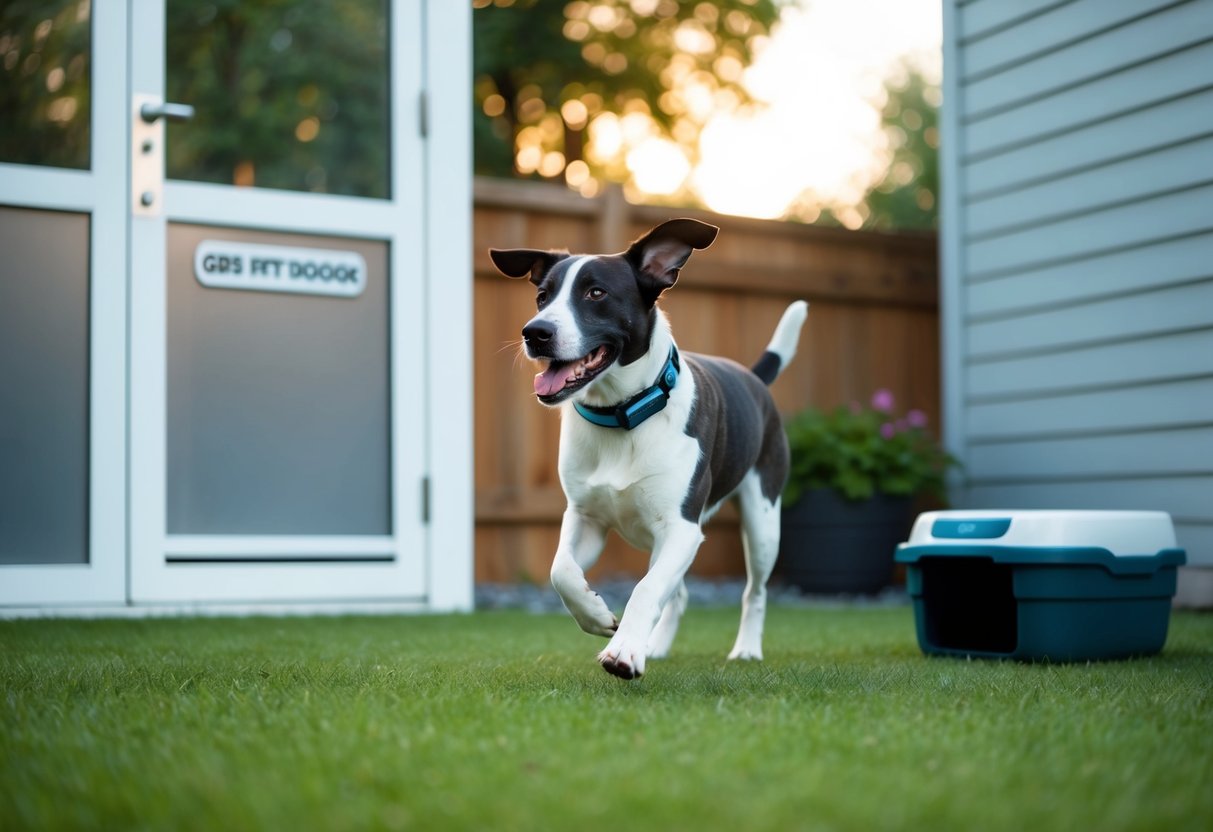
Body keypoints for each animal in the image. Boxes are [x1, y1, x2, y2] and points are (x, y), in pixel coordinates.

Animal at [487, 218, 810, 679]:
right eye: (542, 296)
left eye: (596, 293)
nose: (535, 332)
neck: (623, 414)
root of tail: (752, 377)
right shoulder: (585, 519)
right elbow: (560, 571)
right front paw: (597, 615)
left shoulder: (681, 528)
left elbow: (645, 588)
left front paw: (624, 651)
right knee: (678, 592)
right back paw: (655, 643)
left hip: (762, 521)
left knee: (754, 590)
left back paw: (746, 648)